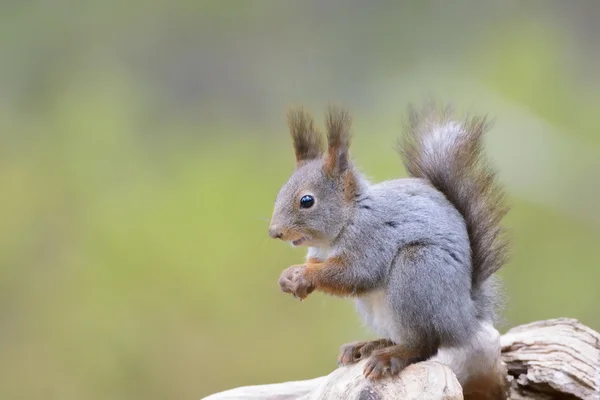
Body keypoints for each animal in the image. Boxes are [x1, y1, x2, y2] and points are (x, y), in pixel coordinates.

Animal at [270, 102, 508, 396]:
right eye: (280, 193)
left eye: (306, 201)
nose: (275, 232)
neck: (348, 219)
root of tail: (465, 316)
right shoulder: (320, 254)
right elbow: (321, 266)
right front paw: (289, 277)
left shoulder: (371, 239)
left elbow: (354, 274)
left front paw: (304, 275)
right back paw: (369, 345)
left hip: (417, 272)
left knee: (426, 344)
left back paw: (391, 356)